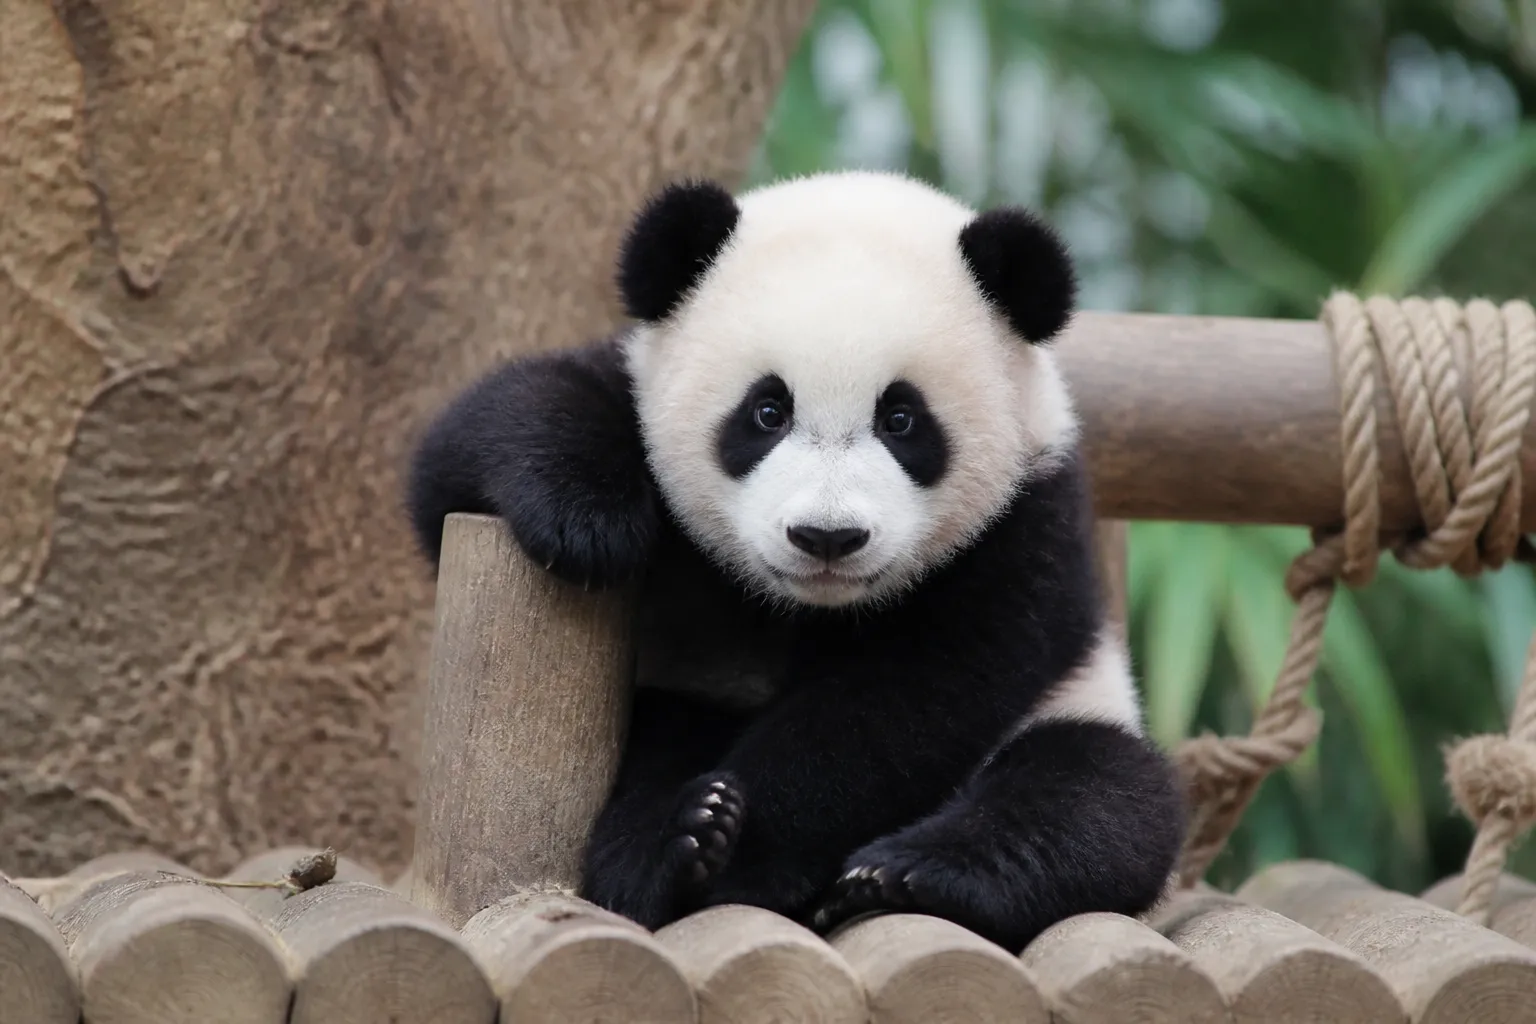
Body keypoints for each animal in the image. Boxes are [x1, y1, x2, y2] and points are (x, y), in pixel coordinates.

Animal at [406, 169, 1186, 953]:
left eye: (901, 419)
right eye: (766, 412)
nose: (827, 537)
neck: (806, 609)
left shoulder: (1023, 527)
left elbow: (908, 698)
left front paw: (737, 849)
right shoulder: (632, 396)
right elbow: (475, 440)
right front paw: (586, 520)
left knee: (1100, 794)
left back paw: (902, 873)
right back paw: (669, 843)